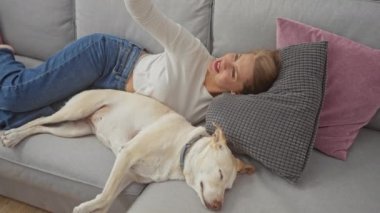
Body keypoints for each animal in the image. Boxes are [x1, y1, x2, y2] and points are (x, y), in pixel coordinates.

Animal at [1, 89, 255, 211]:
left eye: (228, 188)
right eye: (220, 174)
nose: (218, 207)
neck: (181, 147)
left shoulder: (128, 177)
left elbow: (105, 201)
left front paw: (90, 208)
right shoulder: (126, 155)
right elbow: (105, 195)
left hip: (74, 129)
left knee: (41, 128)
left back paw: (15, 137)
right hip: (74, 111)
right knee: (40, 119)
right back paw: (11, 135)